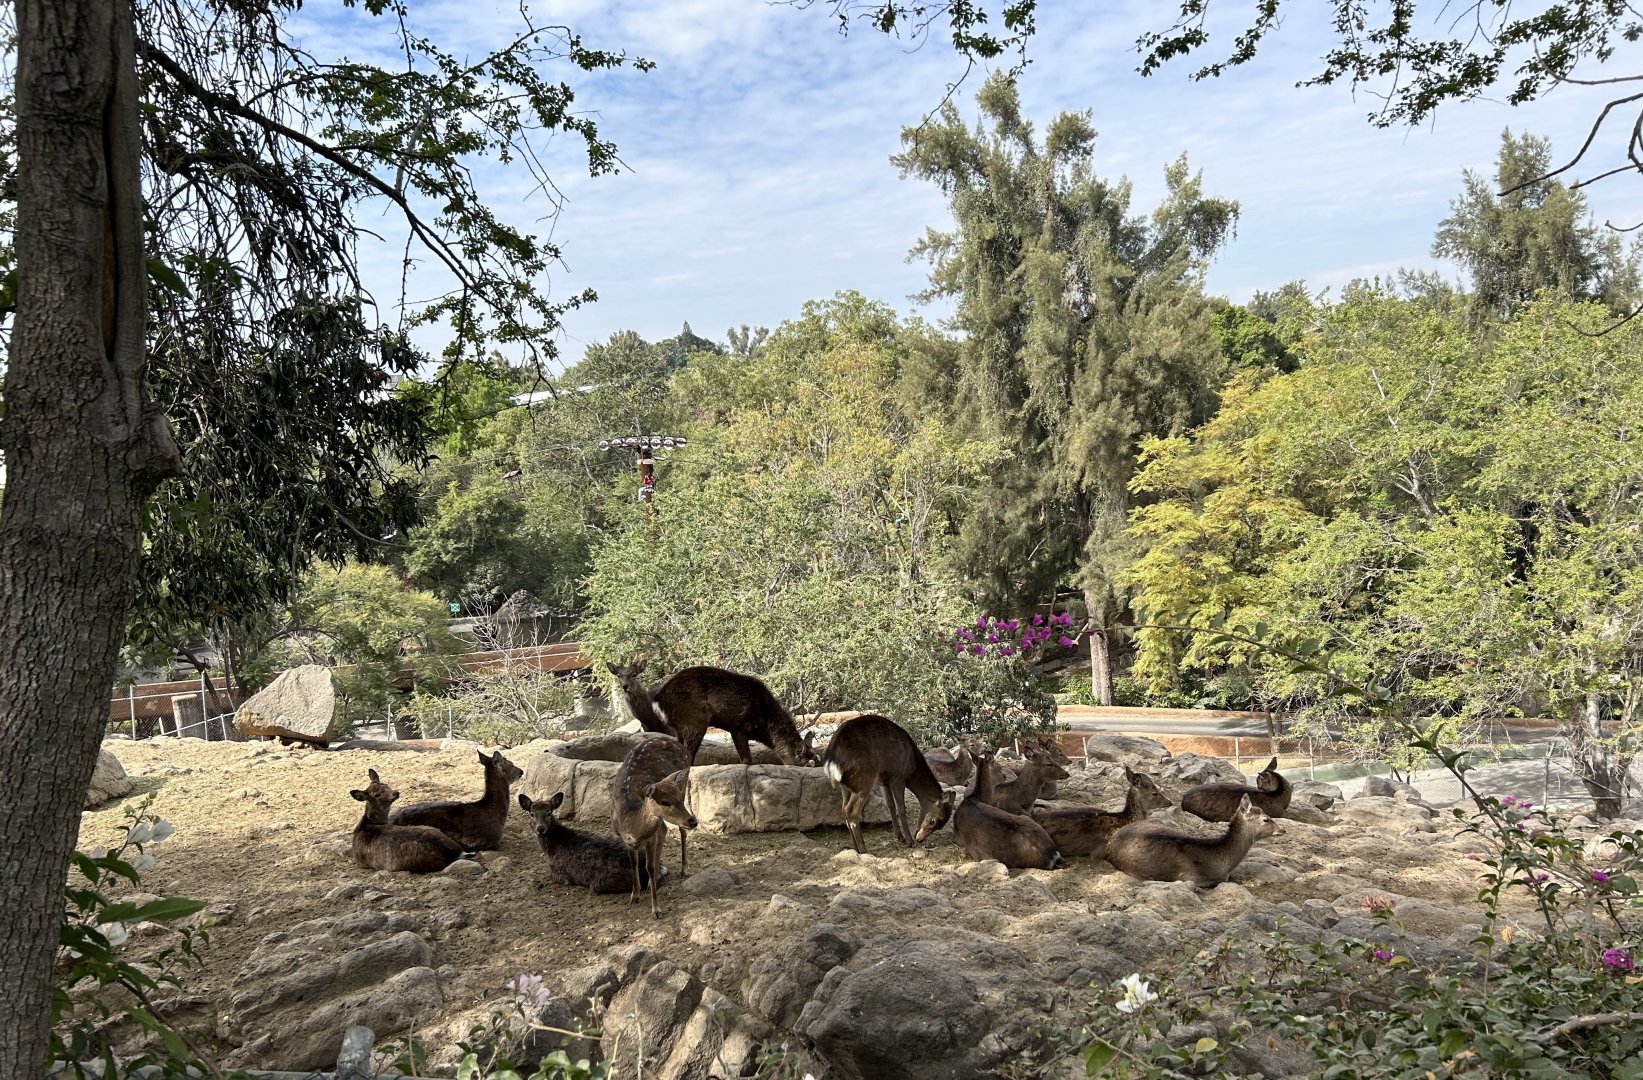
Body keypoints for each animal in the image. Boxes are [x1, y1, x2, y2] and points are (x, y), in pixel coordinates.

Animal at [518, 792, 658, 895]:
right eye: (532, 814)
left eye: (549, 813)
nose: (540, 829)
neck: (551, 848)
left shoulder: (559, 874)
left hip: (600, 883)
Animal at [608, 661, 820, 768]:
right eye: (807, 761)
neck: (765, 727)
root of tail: (659, 700)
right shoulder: (738, 725)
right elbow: (746, 760)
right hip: (695, 720)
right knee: (689, 756)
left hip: (678, 727)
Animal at [610, 735, 698, 918]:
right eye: (664, 802)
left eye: (676, 799)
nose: (694, 821)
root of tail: (680, 744)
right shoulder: (624, 840)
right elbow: (634, 863)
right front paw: (634, 896)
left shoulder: (650, 838)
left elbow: (648, 867)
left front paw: (656, 910)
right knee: (665, 828)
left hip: (684, 783)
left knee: (680, 830)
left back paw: (683, 870)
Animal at [822, 713, 954, 854]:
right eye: (933, 821)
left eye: (940, 826)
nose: (919, 839)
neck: (913, 770)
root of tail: (831, 760)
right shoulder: (898, 778)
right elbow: (901, 808)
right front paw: (909, 841)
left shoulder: (884, 781)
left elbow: (890, 805)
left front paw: (900, 837)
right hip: (864, 781)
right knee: (851, 810)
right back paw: (864, 849)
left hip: (846, 786)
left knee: (843, 808)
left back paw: (855, 848)